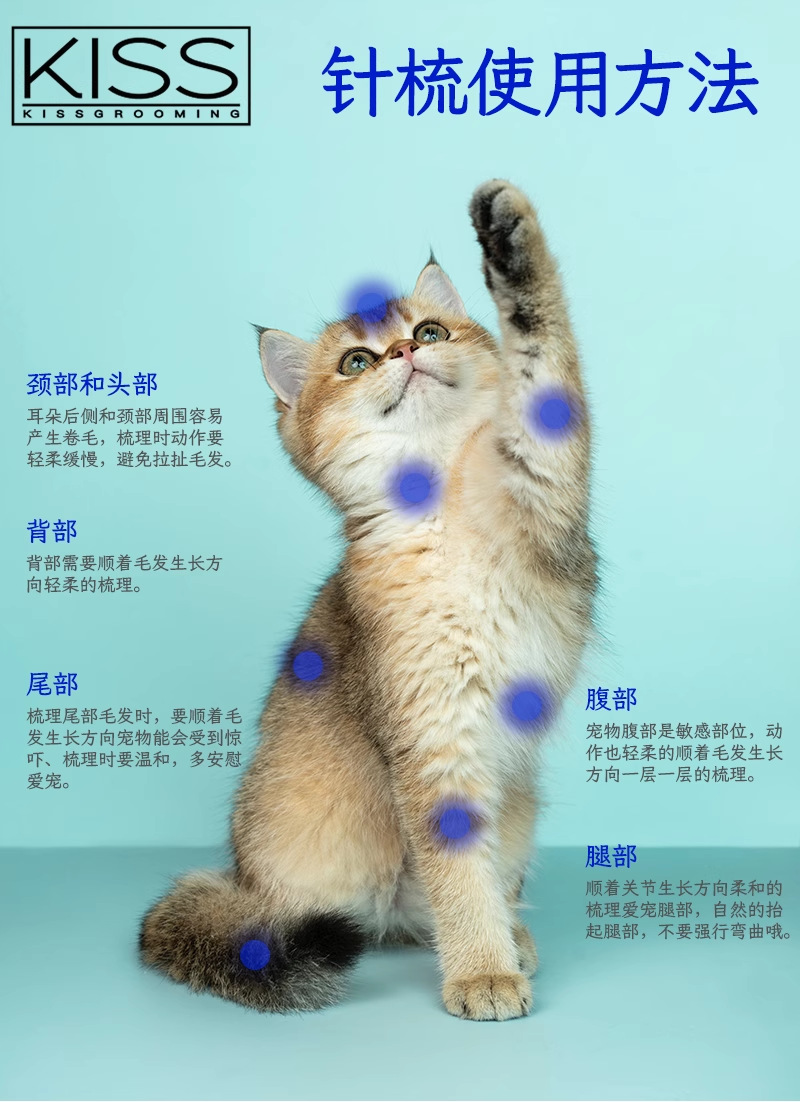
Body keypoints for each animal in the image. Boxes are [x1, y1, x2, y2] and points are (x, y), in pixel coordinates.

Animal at [139, 179, 597, 1021]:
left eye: (429, 329)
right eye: (356, 361)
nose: (406, 353)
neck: (439, 498)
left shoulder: (545, 485)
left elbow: (544, 349)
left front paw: (510, 234)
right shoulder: (432, 731)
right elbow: (457, 872)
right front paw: (480, 974)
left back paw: (512, 935)